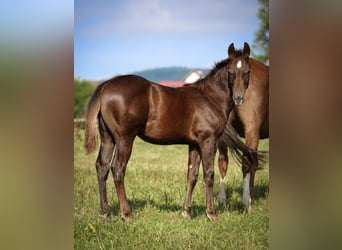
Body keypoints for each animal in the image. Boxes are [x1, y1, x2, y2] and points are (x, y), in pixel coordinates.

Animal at [85, 50, 262, 221]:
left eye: (247, 71)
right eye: (230, 71)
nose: (238, 98)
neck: (209, 98)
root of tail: (106, 85)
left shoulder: (194, 144)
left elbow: (192, 175)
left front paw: (187, 212)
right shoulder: (208, 141)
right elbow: (209, 174)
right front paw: (211, 213)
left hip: (108, 138)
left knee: (102, 167)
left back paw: (106, 213)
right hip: (124, 139)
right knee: (117, 169)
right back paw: (126, 214)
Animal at [216, 42, 270, 210]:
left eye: (247, 72)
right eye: (229, 71)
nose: (238, 97)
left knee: (223, 160)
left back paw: (222, 200)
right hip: (251, 132)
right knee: (247, 162)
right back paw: (247, 201)